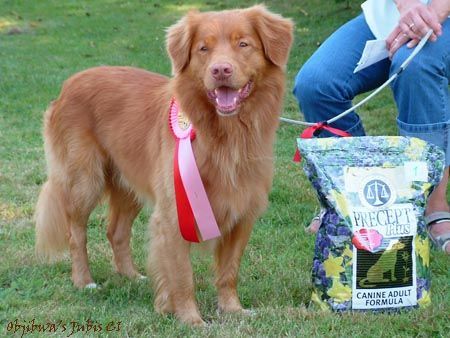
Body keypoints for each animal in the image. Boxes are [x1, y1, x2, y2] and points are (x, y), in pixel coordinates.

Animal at [36, 3, 296, 324]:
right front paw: (190, 319)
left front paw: (232, 309)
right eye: (203, 48)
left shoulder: (243, 211)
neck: (225, 135)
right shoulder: (174, 214)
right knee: (76, 233)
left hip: (128, 183)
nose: (220, 70)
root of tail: (69, 83)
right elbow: (182, 276)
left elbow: (229, 271)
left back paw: (131, 276)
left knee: (116, 231)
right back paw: (84, 281)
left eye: (243, 44)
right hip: (85, 180)